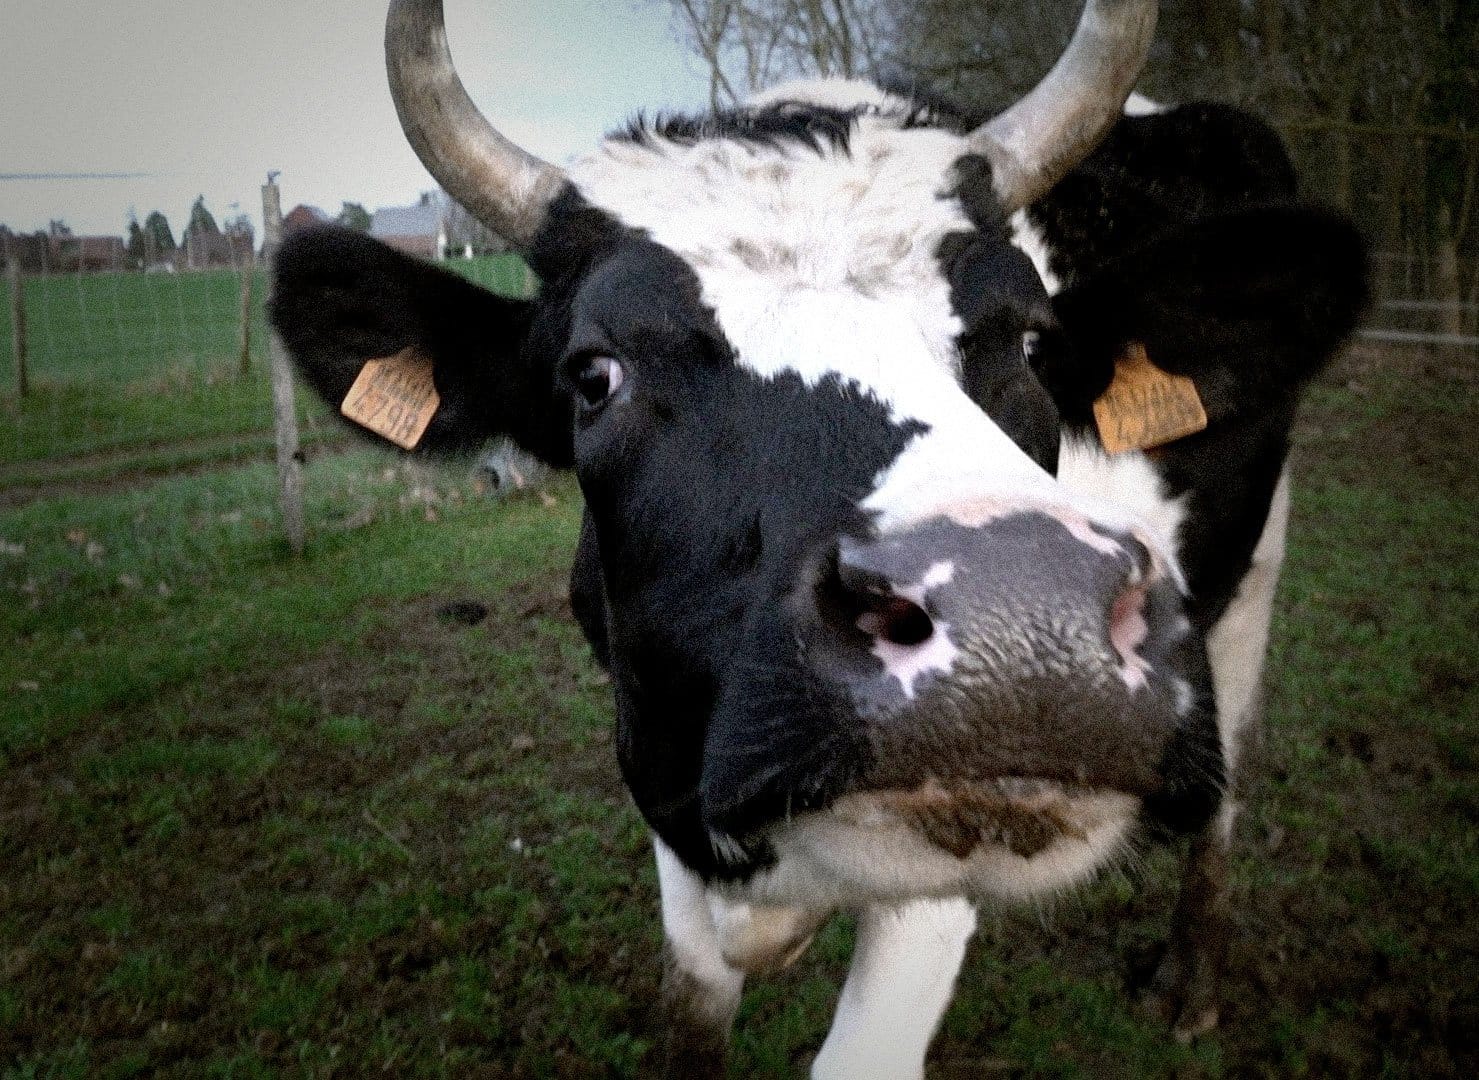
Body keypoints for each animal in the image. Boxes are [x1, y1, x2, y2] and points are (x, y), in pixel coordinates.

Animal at [269, 0, 1368, 1075]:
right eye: (593, 374)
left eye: (1031, 342)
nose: (1025, 628)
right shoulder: (660, 769)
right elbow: (692, 1008)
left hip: (1255, 572)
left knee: (1230, 778)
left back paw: (1189, 986)